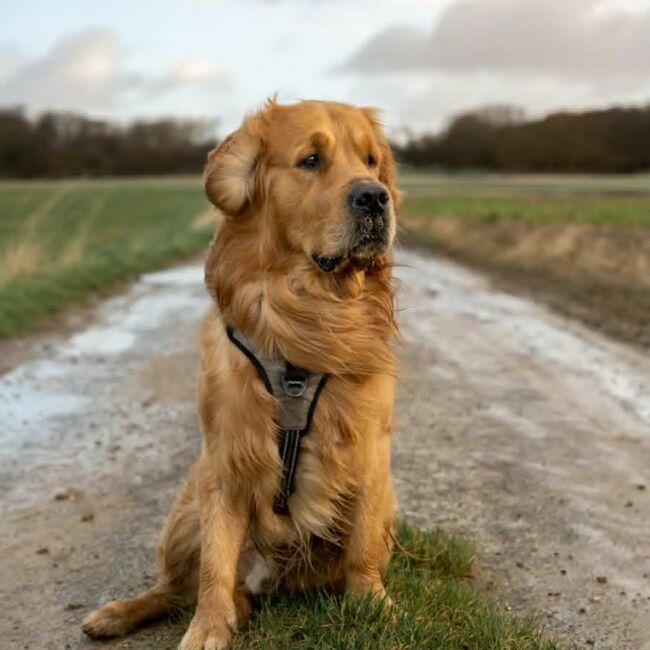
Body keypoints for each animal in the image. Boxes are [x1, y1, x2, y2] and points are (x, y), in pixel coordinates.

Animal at [81, 97, 400, 648]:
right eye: (311, 160)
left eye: (371, 161)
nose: (375, 198)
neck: (308, 314)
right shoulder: (226, 454)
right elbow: (215, 564)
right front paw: (209, 626)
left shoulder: (368, 443)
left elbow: (362, 541)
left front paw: (371, 601)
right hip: (185, 510)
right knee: (175, 586)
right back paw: (118, 613)